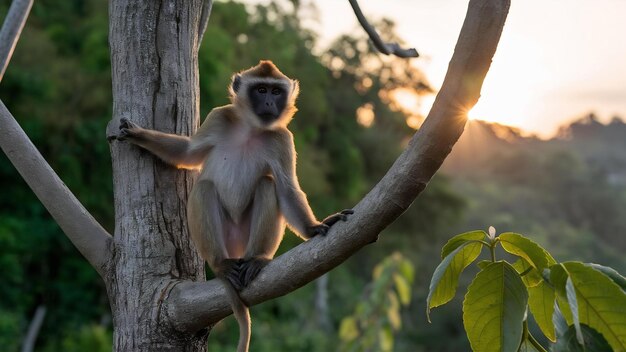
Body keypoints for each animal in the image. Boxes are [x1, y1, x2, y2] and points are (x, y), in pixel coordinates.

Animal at [117, 60, 352, 352]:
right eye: (261, 89)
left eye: (276, 91)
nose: (269, 103)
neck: (250, 129)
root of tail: (237, 250)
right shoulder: (219, 117)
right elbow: (187, 153)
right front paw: (137, 135)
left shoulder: (282, 138)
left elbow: (286, 188)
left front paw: (314, 227)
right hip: (223, 238)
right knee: (205, 188)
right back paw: (221, 265)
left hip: (244, 237)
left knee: (266, 184)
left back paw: (256, 259)